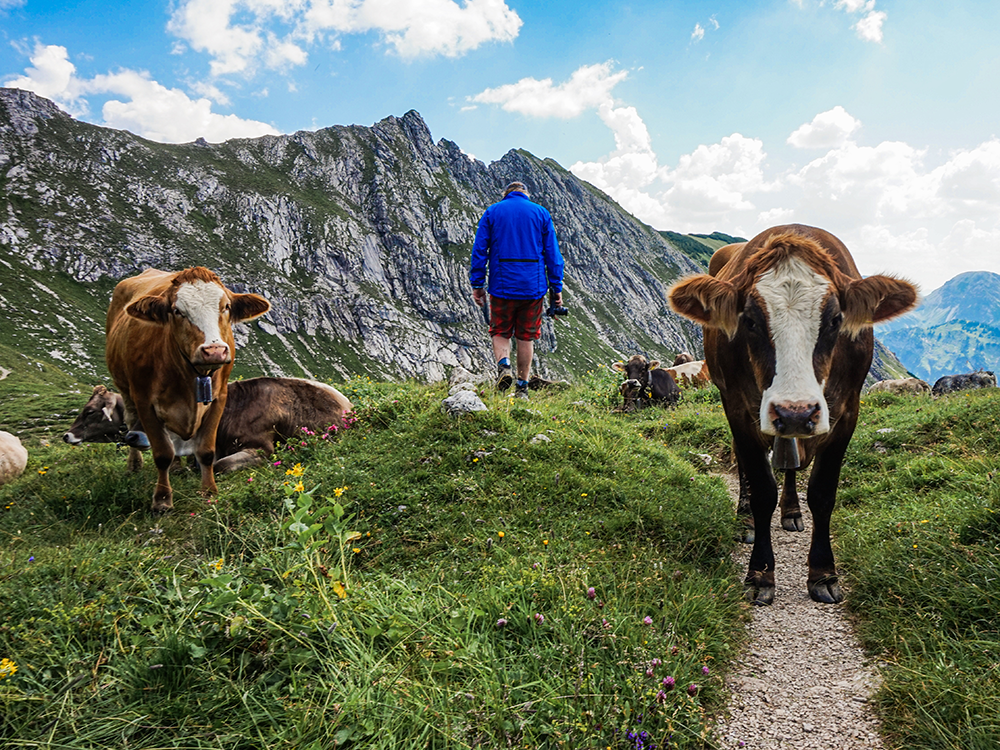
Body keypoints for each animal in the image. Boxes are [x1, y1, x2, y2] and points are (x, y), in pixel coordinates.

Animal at [106, 268, 270, 516]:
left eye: (226, 306)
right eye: (177, 310)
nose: (214, 351)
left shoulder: (219, 399)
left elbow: (206, 451)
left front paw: (209, 492)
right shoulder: (145, 401)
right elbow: (162, 453)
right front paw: (162, 501)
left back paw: (176, 468)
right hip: (124, 386)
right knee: (132, 419)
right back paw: (134, 466)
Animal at [668, 226, 916, 608]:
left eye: (835, 320)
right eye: (749, 320)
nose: (794, 411)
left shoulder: (847, 412)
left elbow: (822, 493)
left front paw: (823, 573)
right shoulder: (739, 408)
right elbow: (761, 488)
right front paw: (760, 574)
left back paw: (792, 512)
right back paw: (745, 520)